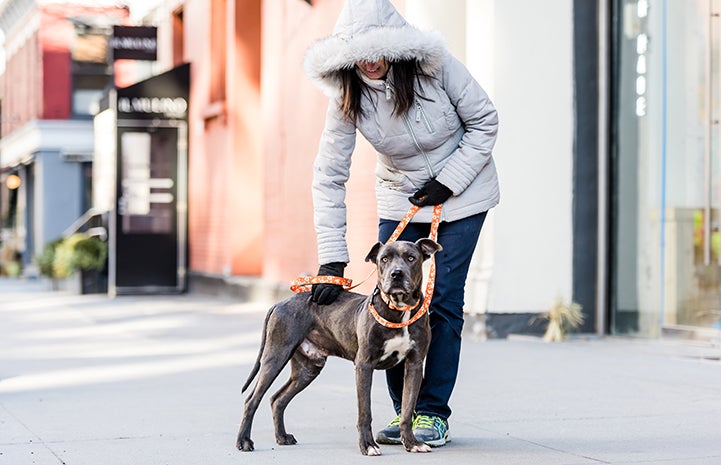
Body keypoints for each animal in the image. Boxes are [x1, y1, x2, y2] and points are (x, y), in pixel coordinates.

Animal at [235, 237, 438, 454]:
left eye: (411, 258)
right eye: (384, 259)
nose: (396, 274)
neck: (399, 310)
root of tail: (282, 302)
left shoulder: (414, 365)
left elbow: (408, 410)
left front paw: (412, 443)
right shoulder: (364, 365)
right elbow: (365, 412)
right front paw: (368, 445)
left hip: (307, 369)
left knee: (278, 399)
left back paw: (282, 437)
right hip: (276, 355)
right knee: (252, 400)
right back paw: (244, 441)